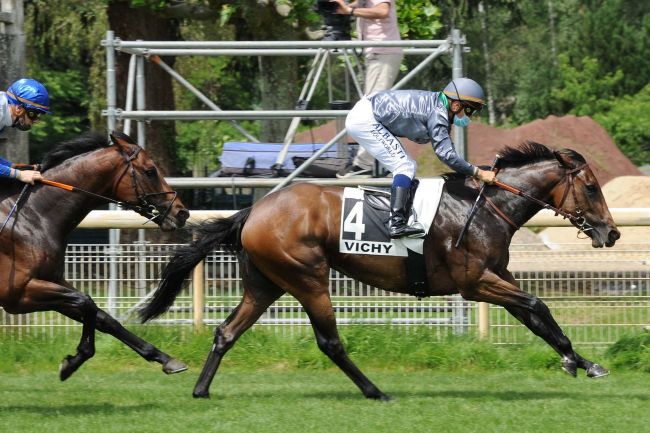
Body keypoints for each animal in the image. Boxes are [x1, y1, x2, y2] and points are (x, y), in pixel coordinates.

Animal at [0, 131, 190, 381]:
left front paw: (165, 359)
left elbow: (104, 318)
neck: (31, 216)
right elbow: (86, 301)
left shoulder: (49, 282)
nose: (182, 212)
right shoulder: (18, 294)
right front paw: (77, 358)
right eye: (150, 170)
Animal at [140, 141, 620, 400]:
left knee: (227, 332)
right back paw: (375, 391)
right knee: (330, 342)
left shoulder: (498, 278)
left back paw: (201, 389)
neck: (486, 206)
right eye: (591, 187)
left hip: (266, 284)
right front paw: (576, 362)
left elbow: (539, 317)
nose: (612, 233)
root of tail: (252, 211)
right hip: (307, 277)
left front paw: (581, 361)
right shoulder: (474, 283)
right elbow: (539, 305)